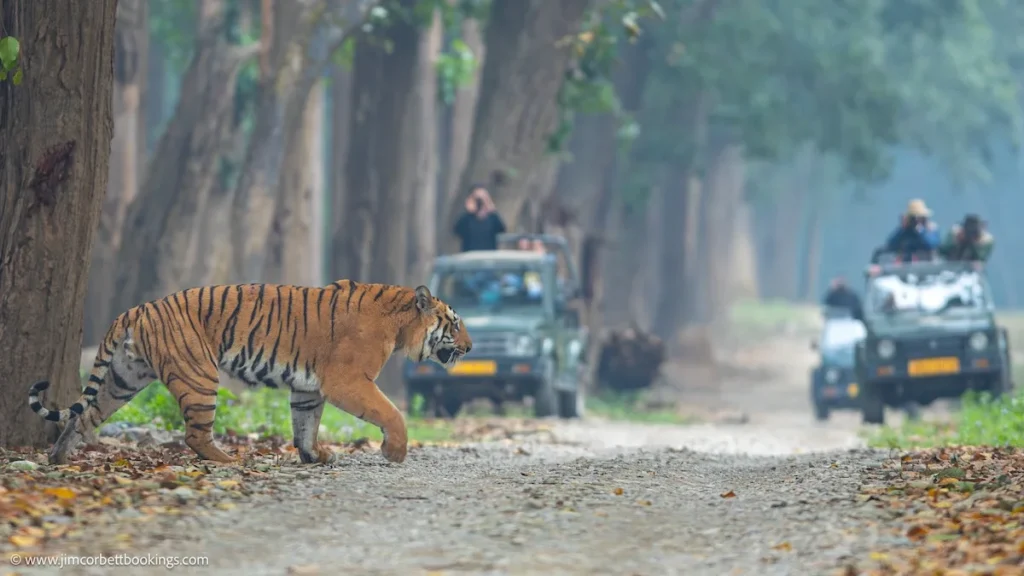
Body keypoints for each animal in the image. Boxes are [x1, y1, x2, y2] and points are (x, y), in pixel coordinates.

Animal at [27, 281, 472, 466]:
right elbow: (391, 413)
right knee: (194, 434)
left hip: (124, 378)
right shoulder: (348, 382)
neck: (400, 325)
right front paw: (395, 452)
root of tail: (136, 309)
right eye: (454, 323)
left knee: (84, 415)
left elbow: (304, 424)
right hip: (200, 376)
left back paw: (58, 457)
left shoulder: (308, 388)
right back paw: (228, 460)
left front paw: (314, 456)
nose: (471, 348)